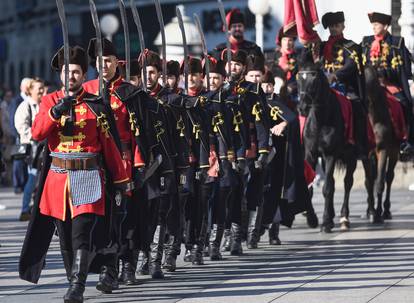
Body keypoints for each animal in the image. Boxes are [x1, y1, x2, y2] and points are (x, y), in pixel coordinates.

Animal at [296, 57, 360, 233]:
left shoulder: (331, 154)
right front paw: (312, 219)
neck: (321, 119)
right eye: (299, 78)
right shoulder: (310, 154)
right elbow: (310, 185)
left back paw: (344, 218)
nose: (302, 108)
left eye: (314, 78)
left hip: (351, 156)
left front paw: (325, 222)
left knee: (347, 183)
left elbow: (328, 188)